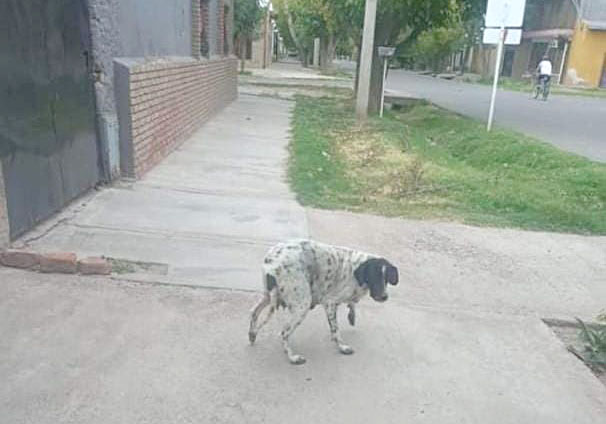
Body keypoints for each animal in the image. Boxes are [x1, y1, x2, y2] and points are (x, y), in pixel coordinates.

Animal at [248, 239, 398, 365]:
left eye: (386, 278)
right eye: (374, 276)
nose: (384, 296)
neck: (356, 268)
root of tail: (270, 263)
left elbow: (351, 306)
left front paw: (351, 315)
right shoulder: (330, 304)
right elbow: (336, 330)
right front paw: (342, 347)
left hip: (268, 296)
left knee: (254, 312)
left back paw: (252, 334)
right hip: (302, 305)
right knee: (284, 333)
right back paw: (293, 357)